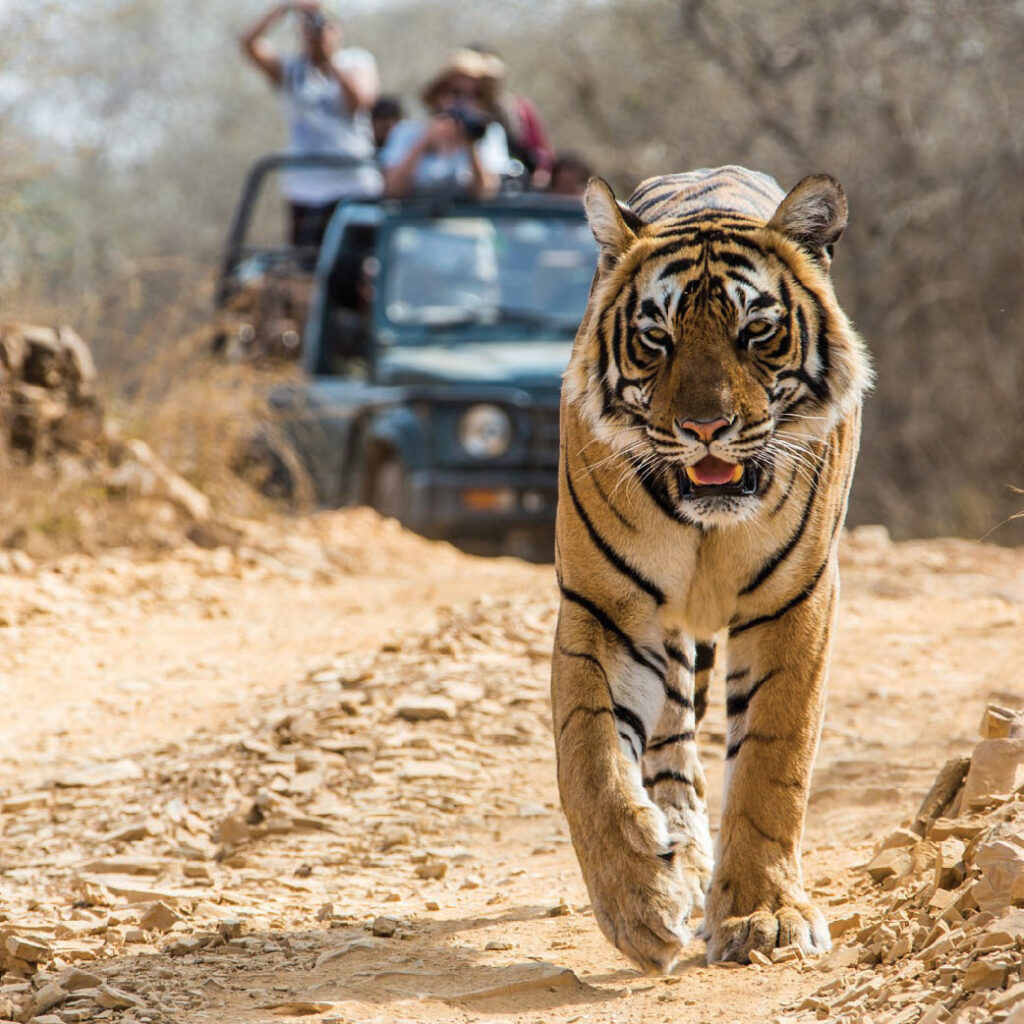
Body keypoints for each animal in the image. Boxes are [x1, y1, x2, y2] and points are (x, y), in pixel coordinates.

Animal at [551, 165, 871, 970]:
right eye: (656, 339)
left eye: (755, 331)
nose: (704, 428)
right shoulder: (604, 609)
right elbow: (590, 758)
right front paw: (639, 903)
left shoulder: (796, 603)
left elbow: (772, 765)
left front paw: (766, 917)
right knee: (669, 744)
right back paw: (681, 855)